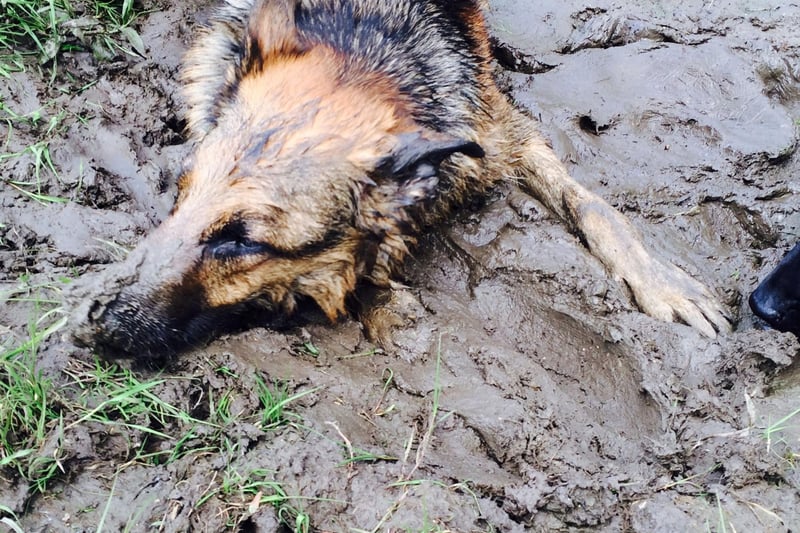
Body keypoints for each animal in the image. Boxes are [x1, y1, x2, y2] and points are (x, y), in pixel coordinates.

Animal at [67, 0, 732, 360]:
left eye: (241, 241)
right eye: (177, 199)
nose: (100, 321)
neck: (365, 54)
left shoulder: (507, 137)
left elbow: (597, 208)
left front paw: (665, 284)